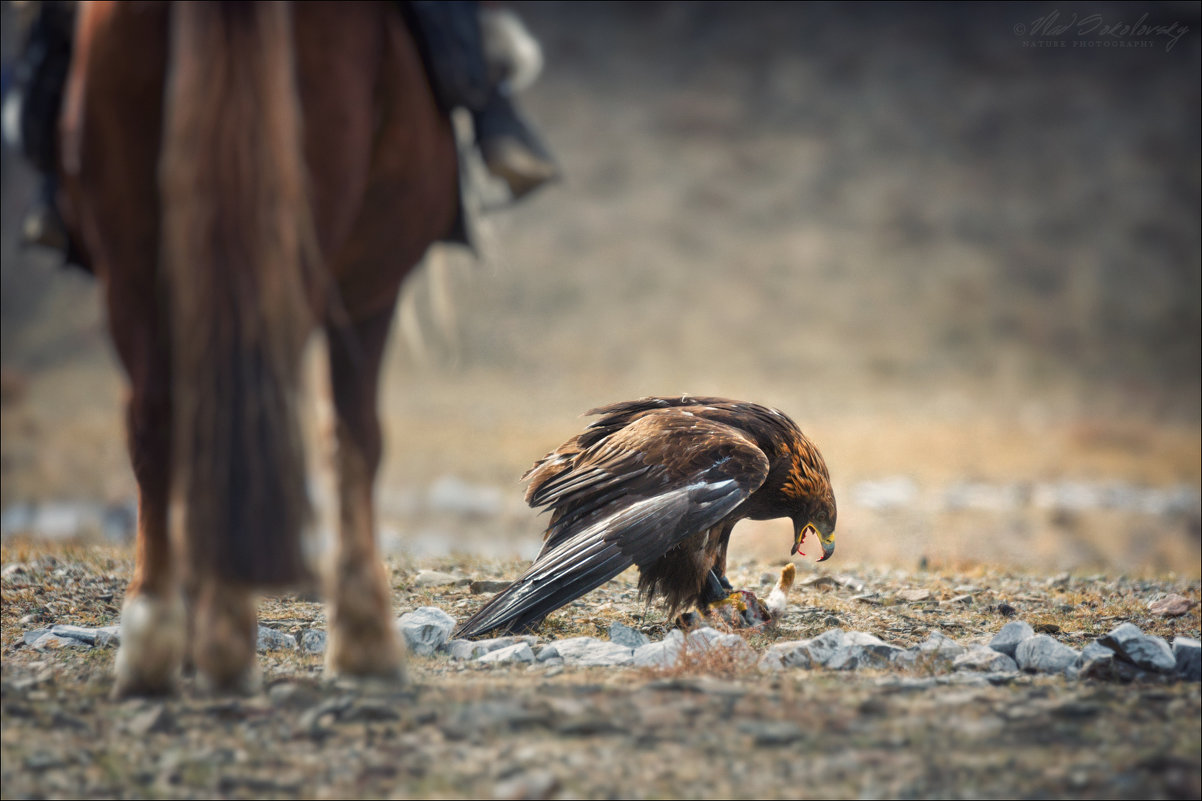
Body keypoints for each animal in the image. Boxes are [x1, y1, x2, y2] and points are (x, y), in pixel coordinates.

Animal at [56, 1, 459, 692]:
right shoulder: (368, 289)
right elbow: (356, 435)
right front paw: (366, 642)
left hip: (131, 255)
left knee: (164, 419)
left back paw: (167, 635)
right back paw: (217, 630)